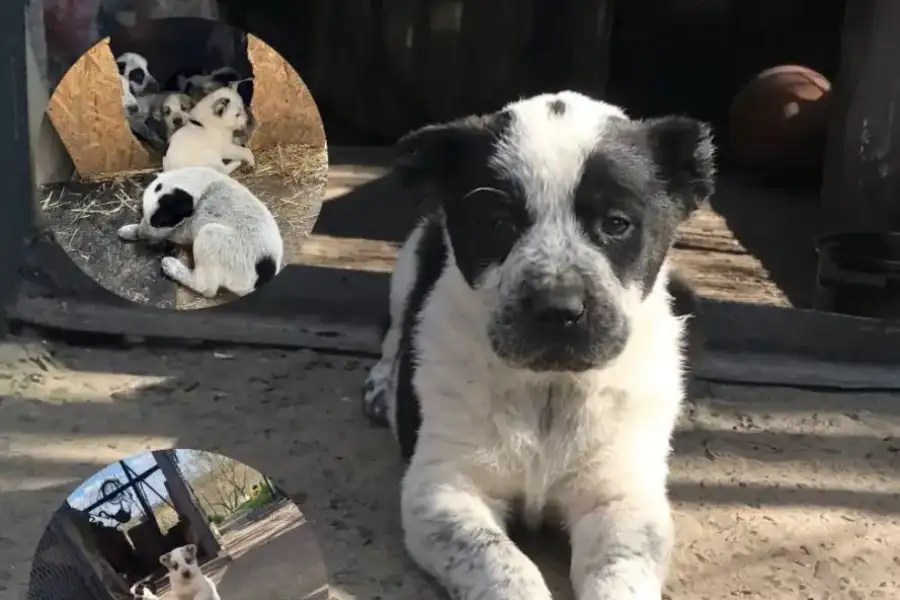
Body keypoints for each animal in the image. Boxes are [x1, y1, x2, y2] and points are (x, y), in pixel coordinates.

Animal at [116, 166, 284, 298]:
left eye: (161, 221)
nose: (146, 235)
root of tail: (263, 276)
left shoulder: (186, 228)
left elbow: (167, 234)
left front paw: (137, 232)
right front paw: (133, 230)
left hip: (210, 235)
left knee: (205, 287)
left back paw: (172, 267)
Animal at [360, 90, 716, 600]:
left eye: (616, 223)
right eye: (498, 223)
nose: (558, 310)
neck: (549, 387)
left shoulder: (622, 500)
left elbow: (618, 575)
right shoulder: (444, 489)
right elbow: (501, 565)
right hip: (409, 262)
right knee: (393, 334)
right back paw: (380, 386)